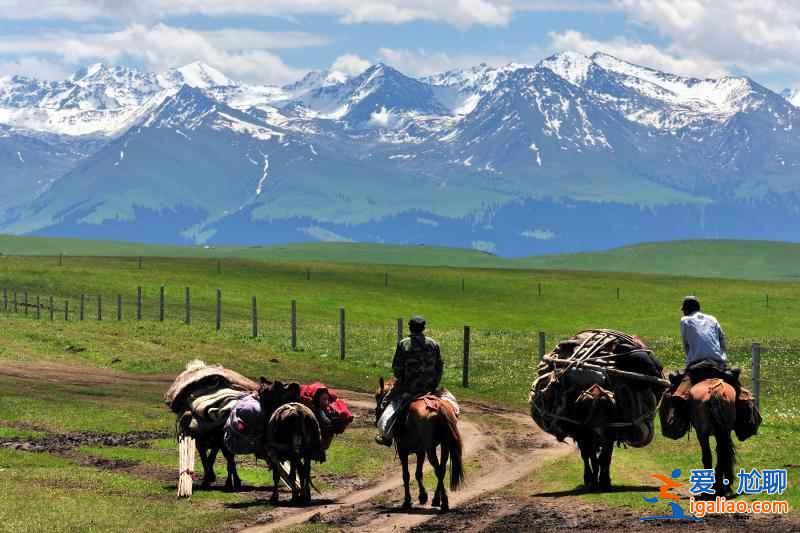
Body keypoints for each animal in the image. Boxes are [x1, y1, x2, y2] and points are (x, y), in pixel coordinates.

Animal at [376, 376, 466, 512]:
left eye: (377, 396)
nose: (376, 415)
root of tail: (438, 407)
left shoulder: (403, 451)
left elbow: (406, 475)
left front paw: (408, 501)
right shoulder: (420, 451)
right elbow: (418, 473)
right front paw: (423, 497)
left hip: (430, 449)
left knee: (438, 470)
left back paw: (443, 502)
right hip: (444, 445)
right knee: (442, 469)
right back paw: (437, 500)